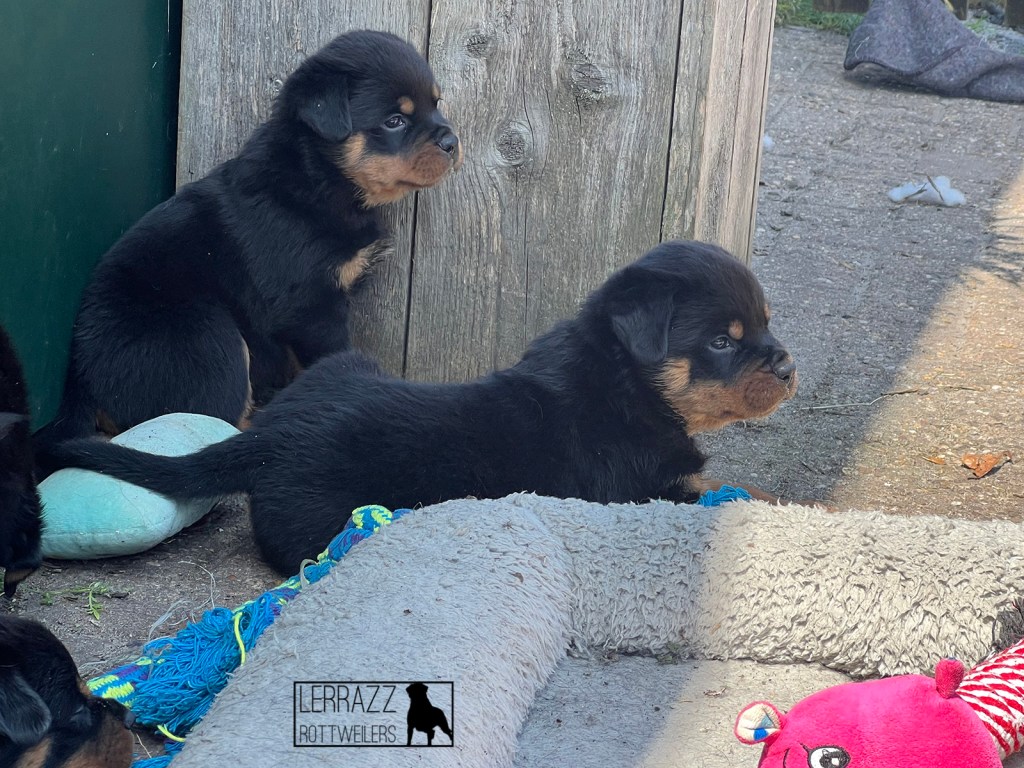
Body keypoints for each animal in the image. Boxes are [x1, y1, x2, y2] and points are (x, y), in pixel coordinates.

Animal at [34, 29, 461, 458]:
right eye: (394, 121)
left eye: (436, 104)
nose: (452, 142)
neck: (318, 176)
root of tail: (80, 382)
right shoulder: (310, 306)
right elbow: (332, 356)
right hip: (208, 335)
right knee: (206, 418)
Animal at [44, 240, 798, 575]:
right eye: (723, 341)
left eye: (764, 322)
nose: (788, 367)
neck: (626, 383)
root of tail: (270, 435)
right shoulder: (650, 491)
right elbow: (740, 491)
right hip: (316, 523)